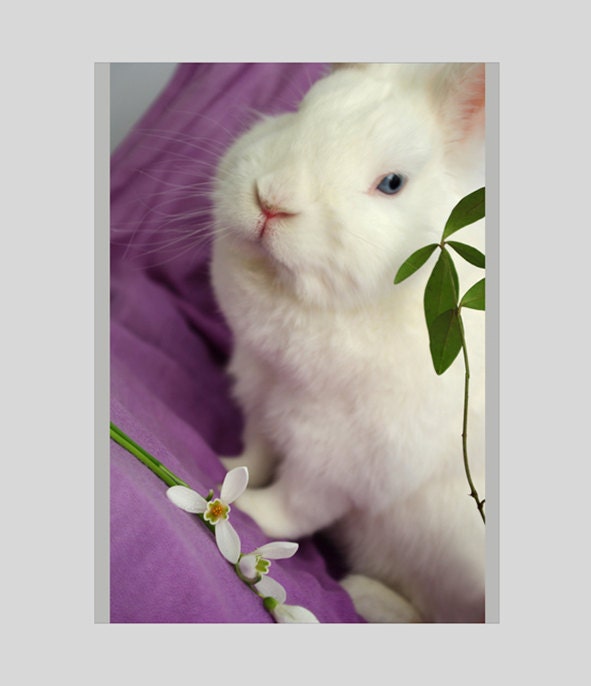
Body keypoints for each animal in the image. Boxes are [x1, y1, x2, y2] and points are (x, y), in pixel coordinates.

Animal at [210, 63, 486, 623]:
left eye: (392, 183)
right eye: (301, 110)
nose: (271, 201)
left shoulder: (346, 457)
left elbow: (294, 506)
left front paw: (248, 507)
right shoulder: (263, 395)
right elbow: (257, 453)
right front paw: (230, 469)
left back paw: (365, 595)